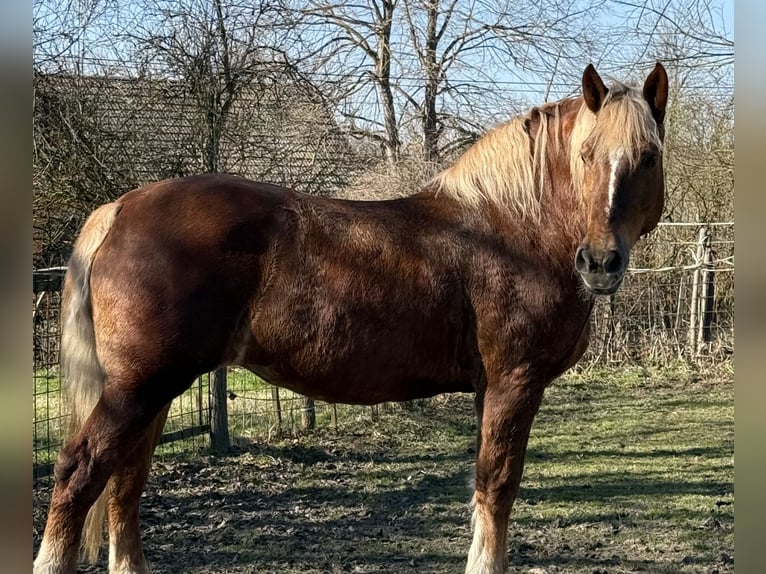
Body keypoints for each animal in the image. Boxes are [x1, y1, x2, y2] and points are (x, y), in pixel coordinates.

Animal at [34, 62, 668, 574]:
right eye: (585, 154)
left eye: (649, 156)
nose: (599, 262)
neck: (510, 227)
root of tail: (119, 209)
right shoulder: (515, 381)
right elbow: (497, 486)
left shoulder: (490, 388)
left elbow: (485, 487)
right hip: (139, 389)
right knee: (77, 474)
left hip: (154, 390)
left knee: (124, 488)